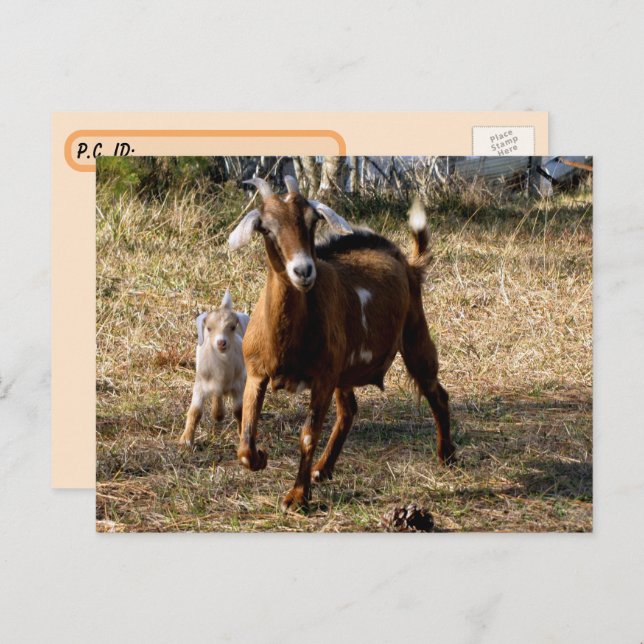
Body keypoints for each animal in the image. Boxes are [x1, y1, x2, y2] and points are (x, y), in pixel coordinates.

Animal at [179, 289, 250, 447]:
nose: (221, 342)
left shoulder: (238, 385)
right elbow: (195, 411)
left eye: (233, 327)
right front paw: (186, 439)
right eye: (209, 328)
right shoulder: (200, 384)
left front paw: (242, 436)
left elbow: (239, 411)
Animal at [228, 175, 455, 510]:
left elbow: (308, 434)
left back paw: (446, 455)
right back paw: (323, 469)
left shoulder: (323, 377)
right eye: (265, 227)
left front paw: (297, 497)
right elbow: (245, 440)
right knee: (349, 410)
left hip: (415, 336)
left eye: (312, 221)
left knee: (436, 393)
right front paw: (261, 458)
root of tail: (408, 263)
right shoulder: (257, 371)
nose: (303, 271)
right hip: (344, 370)